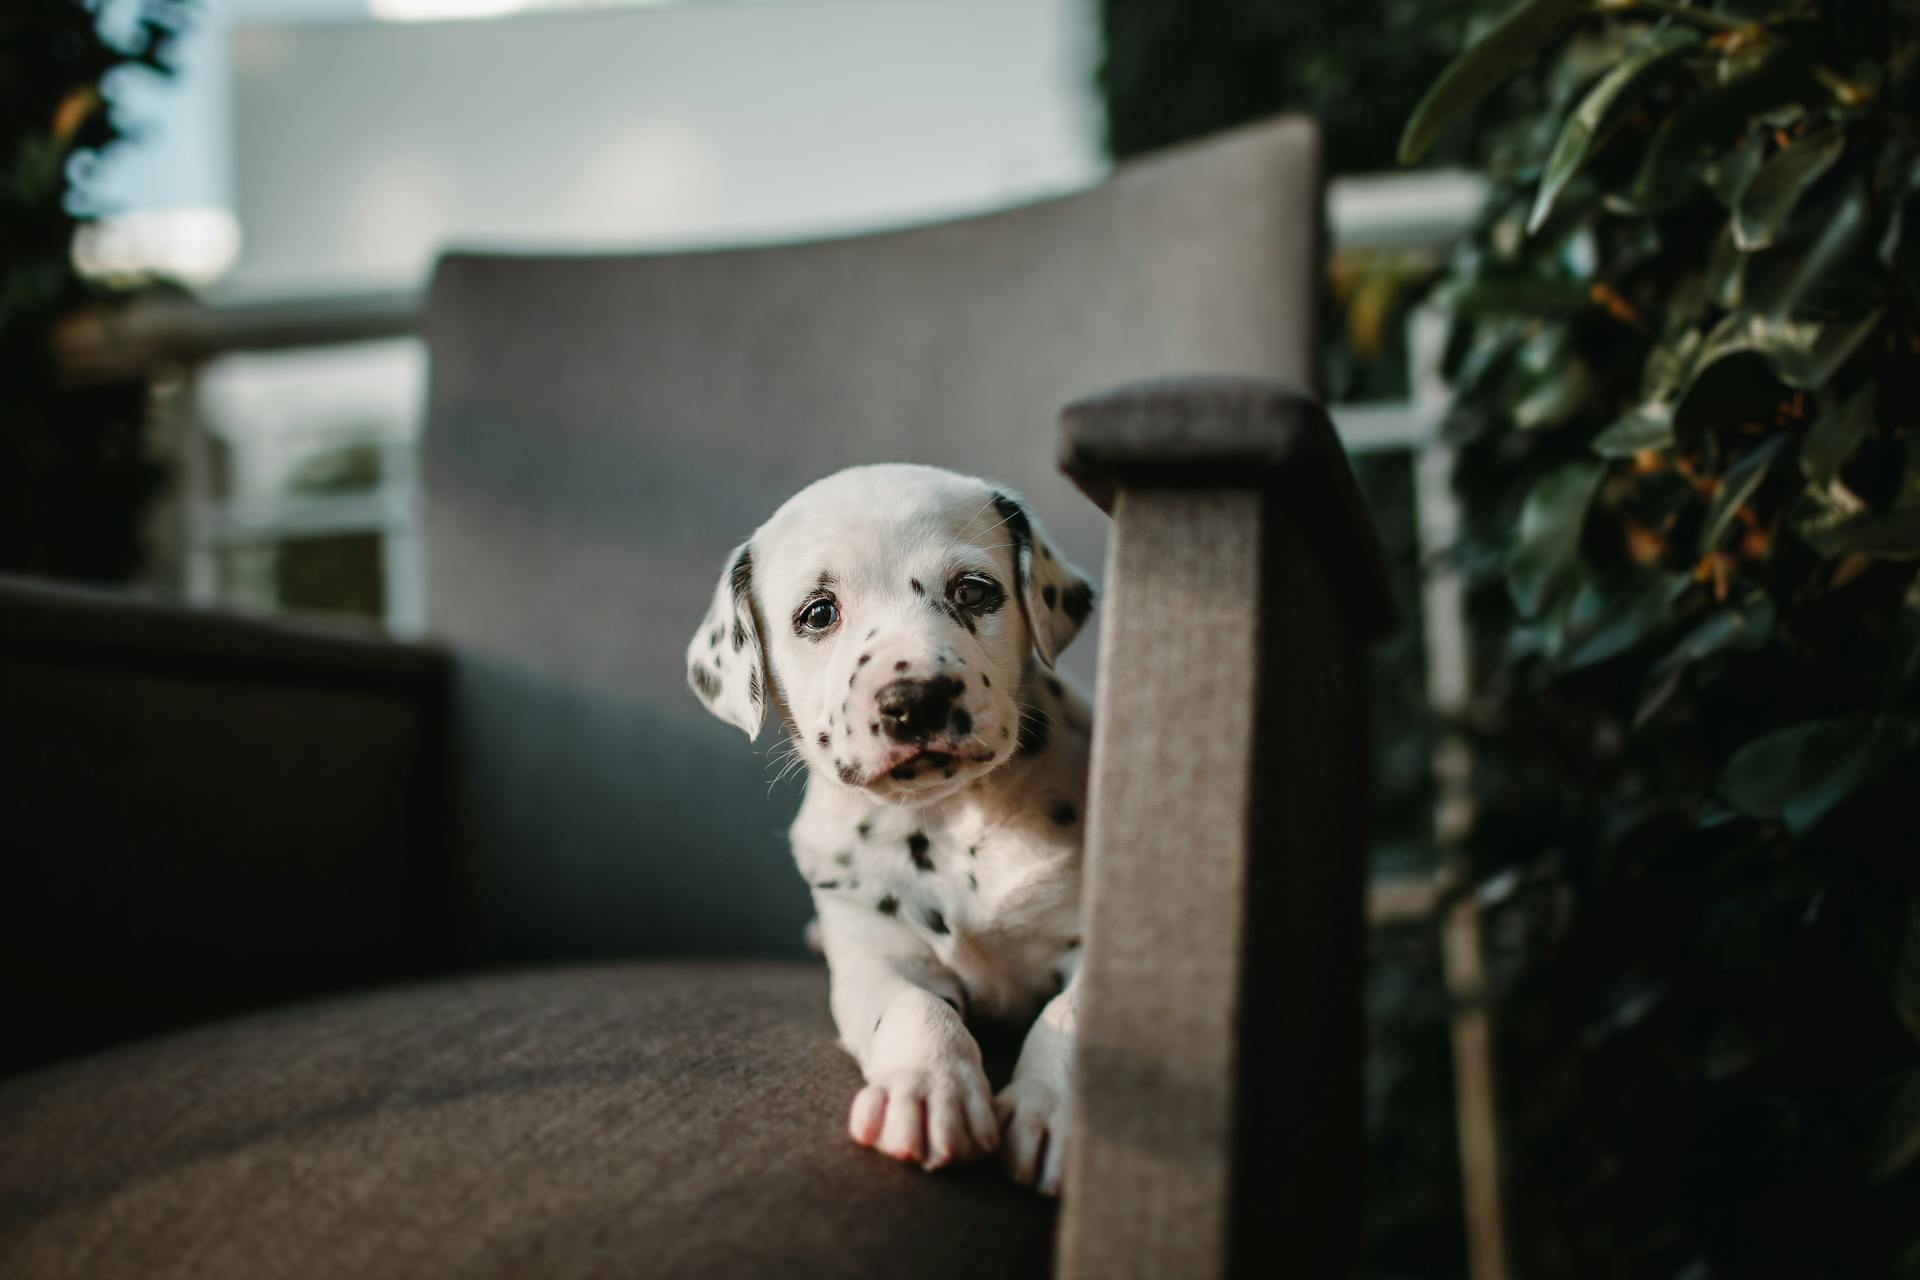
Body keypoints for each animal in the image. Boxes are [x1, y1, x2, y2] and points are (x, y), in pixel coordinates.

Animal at [687, 466, 1098, 1197]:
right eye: (819, 613)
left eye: (974, 591)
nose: (917, 700)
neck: (949, 817)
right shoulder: (874, 953)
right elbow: (911, 1007)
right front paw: (928, 1090)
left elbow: (1070, 1016)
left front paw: (1054, 1110)